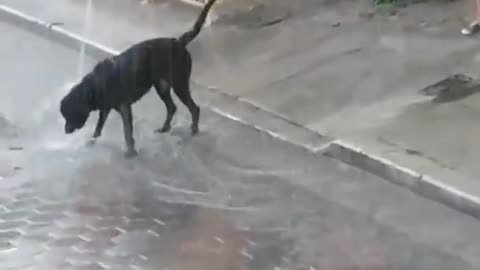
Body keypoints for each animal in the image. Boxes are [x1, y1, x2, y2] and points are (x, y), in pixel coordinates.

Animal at [60, 0, 218, 157]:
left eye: (69, 115)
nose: (66, 131)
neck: (96, 86)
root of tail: (178, 42)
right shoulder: (105, 109)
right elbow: (99, 127)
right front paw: (92, 140)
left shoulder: (125, 109)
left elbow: (127, 132)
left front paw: (130, 151)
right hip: (162, 87)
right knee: (172, 108)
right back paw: (165, 128)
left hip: (180, 85)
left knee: (194, 108)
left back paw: (194, 129)